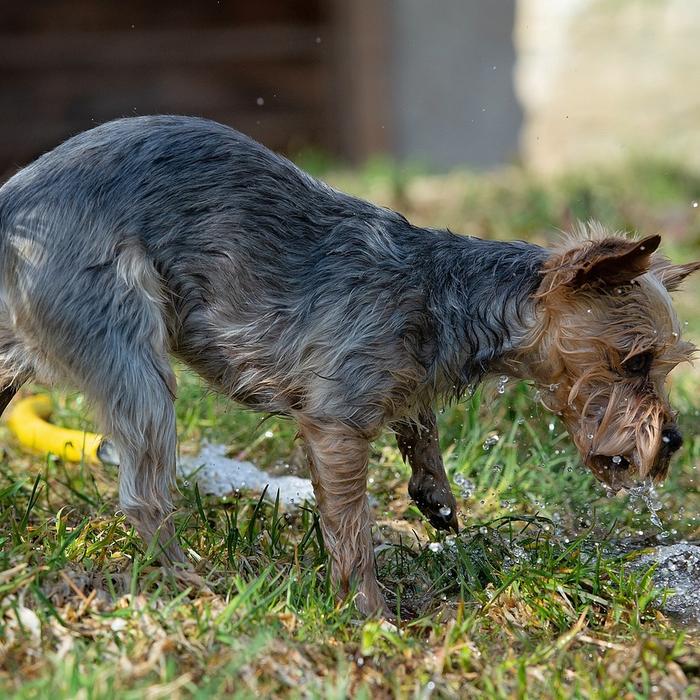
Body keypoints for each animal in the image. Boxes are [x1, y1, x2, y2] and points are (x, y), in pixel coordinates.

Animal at [0, 117, 696, 616]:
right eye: (636, 361)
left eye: (669, 366)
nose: (674, 441)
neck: (449, 298)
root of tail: (12, 207)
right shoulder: (335, 422)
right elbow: (351, 528)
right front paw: (369, 615)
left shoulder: (403, 381)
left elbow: (420, 426)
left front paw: (436, 497)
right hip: (130, 350)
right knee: (144, 495)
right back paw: (195, 582)